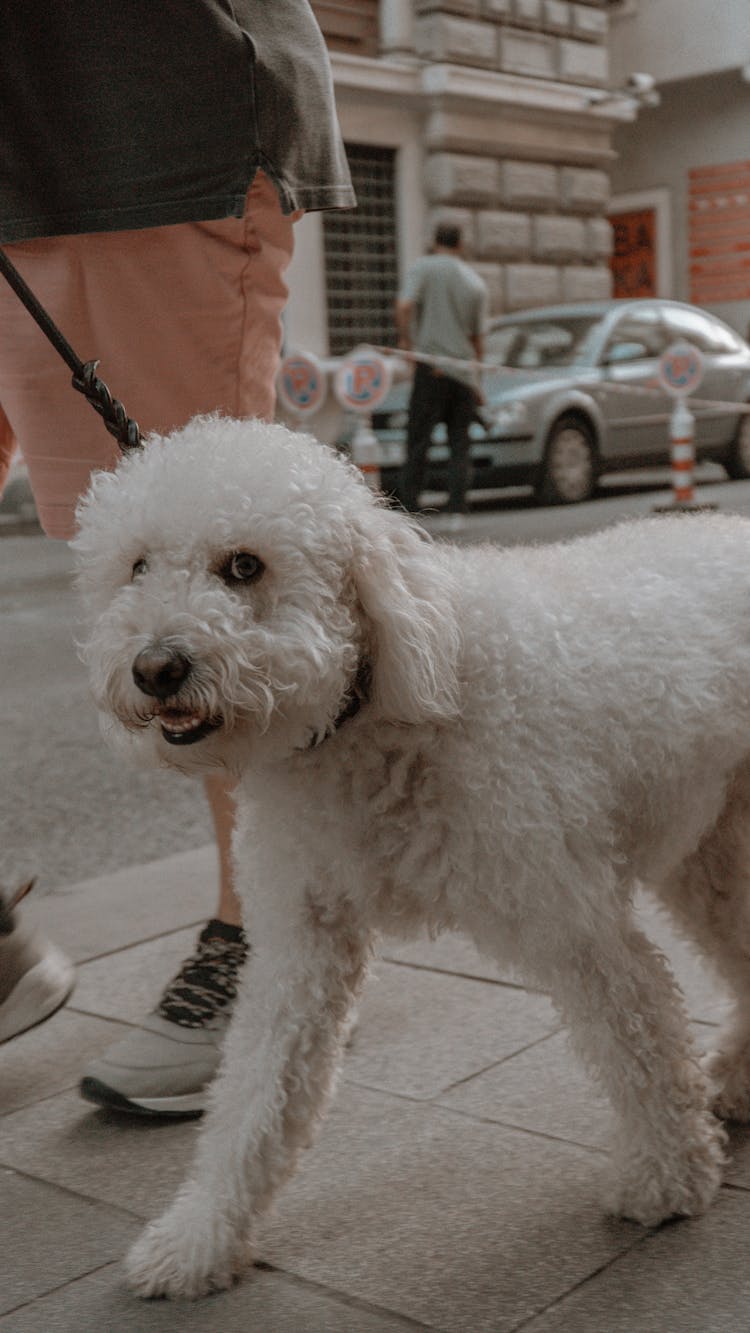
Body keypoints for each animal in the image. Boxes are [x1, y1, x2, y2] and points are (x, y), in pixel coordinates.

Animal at [73, 410, 750, 1295]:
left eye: (245, 565)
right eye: (138, 566)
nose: (156, 667)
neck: (363, 718)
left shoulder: (572, 918)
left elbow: (636, 1038)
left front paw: (667, 1179)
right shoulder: (300, 939)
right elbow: (256, 1090)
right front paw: (201, 1237)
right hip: (708, 849)